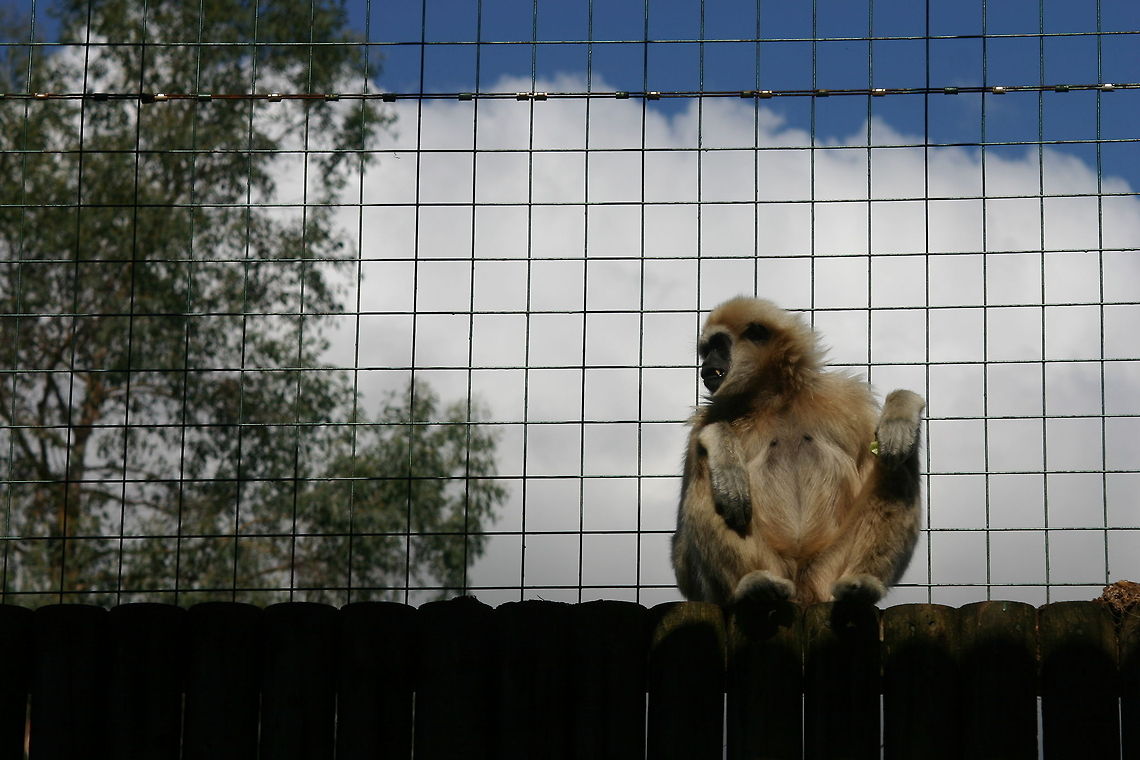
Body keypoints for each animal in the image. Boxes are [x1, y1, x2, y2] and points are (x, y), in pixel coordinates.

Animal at [672, 297, 925, 606]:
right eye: (705, 351)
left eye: (718, 346)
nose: (707, 364)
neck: (777, 399)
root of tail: (804, 590)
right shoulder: (705, 419)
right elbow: (683, 565)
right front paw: (722, 443)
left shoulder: (844, 398)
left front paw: (901, 411)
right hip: (775, 564)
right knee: (709, 471)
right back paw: (753, 584)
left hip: (827, 568)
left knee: (898, 460)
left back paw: (862, 584)